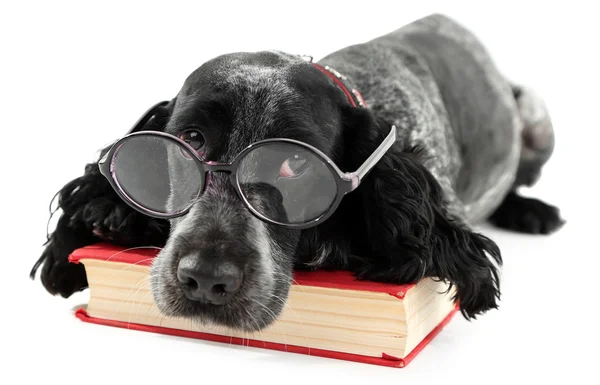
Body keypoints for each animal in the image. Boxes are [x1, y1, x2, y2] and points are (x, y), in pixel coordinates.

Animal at [30, 12, 564, 330]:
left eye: (296, 162)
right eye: (192, 140)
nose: (204, 279)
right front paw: (107, 210)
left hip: (536, 112)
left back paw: (530, 211)